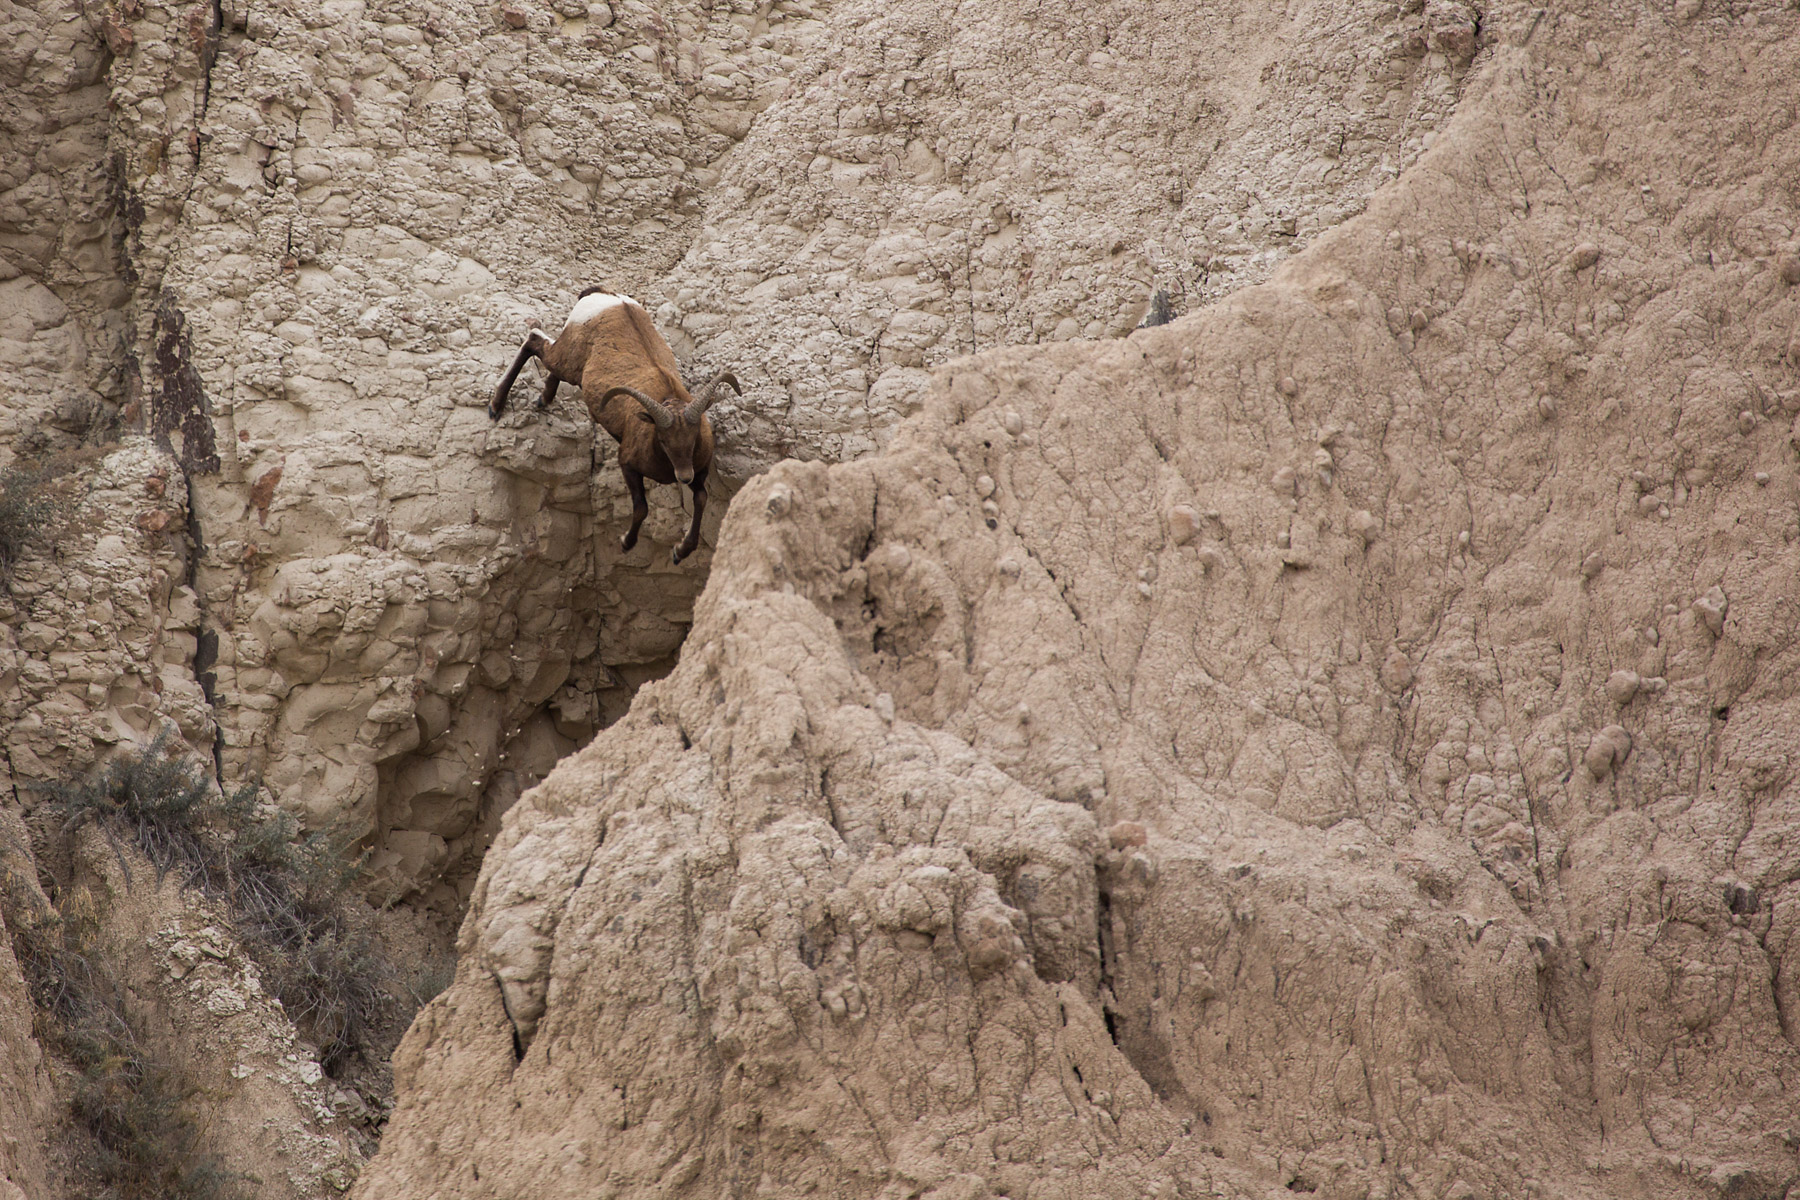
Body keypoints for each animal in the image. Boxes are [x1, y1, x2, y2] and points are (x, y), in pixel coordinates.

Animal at [488, 287, 741, 565]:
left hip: (570, 366)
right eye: (663, 441)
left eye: (693, 438)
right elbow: (641, 508)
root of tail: (606, 297)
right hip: (565, 360)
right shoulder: (628, 464)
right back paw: (496, 407)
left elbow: (701, 499)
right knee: (534, 340)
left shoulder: (699, 471)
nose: (684, 477)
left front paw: (680, 551)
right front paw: (626, 543)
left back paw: (544, 399)